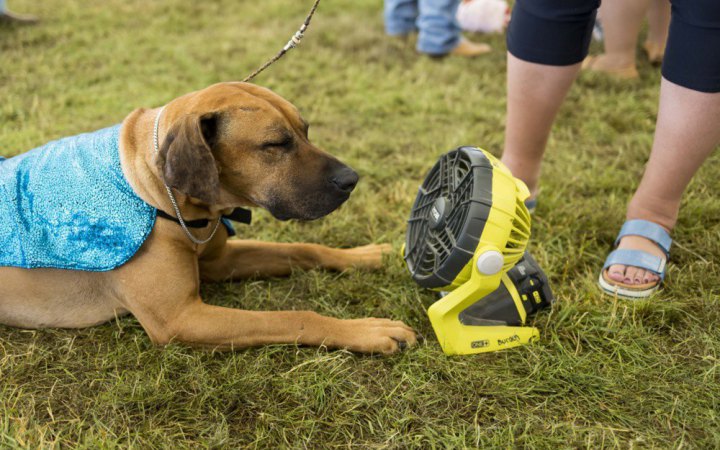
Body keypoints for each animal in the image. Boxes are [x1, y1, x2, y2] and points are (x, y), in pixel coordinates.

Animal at [0, 81, 416, 356]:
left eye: (306, 130)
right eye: (275, 144)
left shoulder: (219, 260)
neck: (161, 192)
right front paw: (366, 330)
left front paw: (361, 255)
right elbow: (292, 316)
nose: (351, 179)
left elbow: (303, 248)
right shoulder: (180, 318)